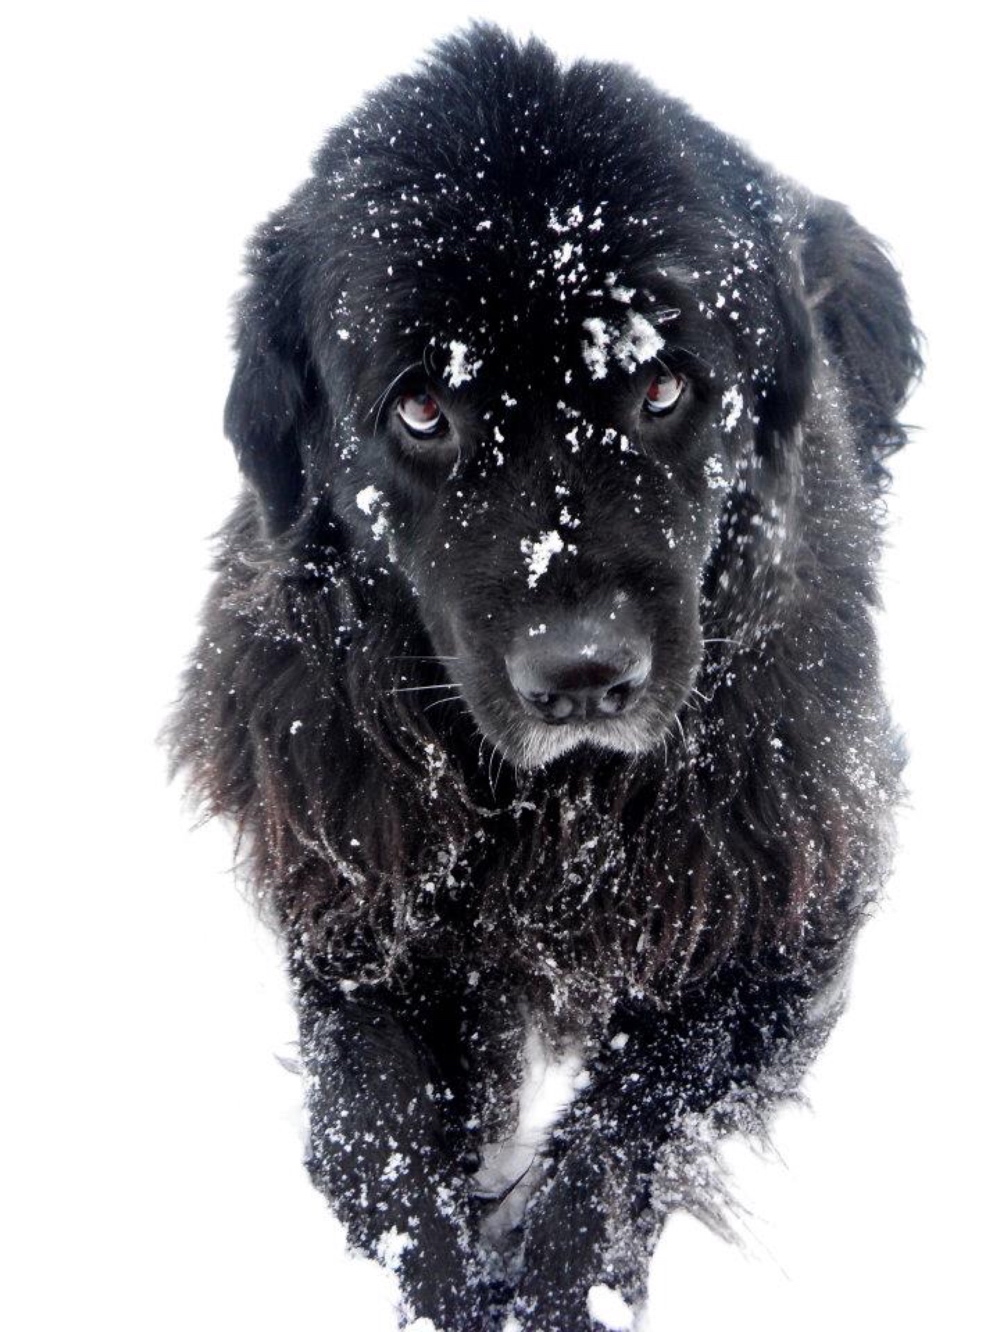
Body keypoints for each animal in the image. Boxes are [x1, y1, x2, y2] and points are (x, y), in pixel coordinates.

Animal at [168, 23, 921, 1332]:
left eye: (662, 385)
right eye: (422, 407)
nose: (582, 673)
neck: (548, 811)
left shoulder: (783, 901)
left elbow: (627, 1128)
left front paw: (556, 1281)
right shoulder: (350, 887)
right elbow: (372, 1133)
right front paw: (453, 1282)